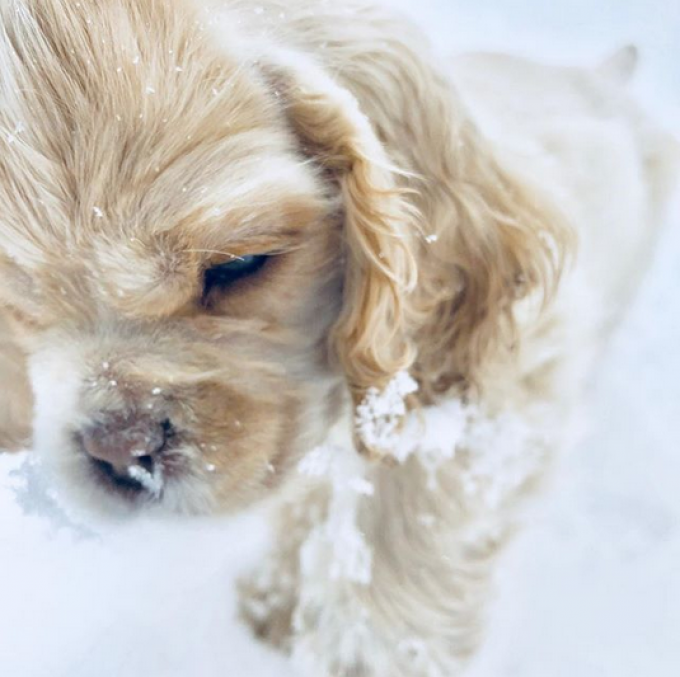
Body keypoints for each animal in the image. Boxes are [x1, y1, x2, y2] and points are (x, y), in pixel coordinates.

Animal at [0, 1, 676, 676]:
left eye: (240, 264)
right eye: (21, 302)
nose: (119, 452)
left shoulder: (477, 403)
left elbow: (398, 537)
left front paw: (362, 651)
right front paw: (278, 598)